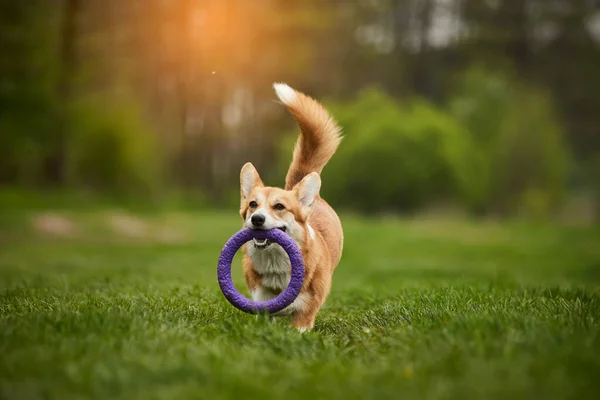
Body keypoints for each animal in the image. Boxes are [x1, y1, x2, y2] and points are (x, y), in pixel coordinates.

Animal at [238, 82, 344, 332]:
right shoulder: (262, 303)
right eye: (253, 204)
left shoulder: (306, 313)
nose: (257, 218)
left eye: (279, 206)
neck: (276, 263)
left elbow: (300, 326)